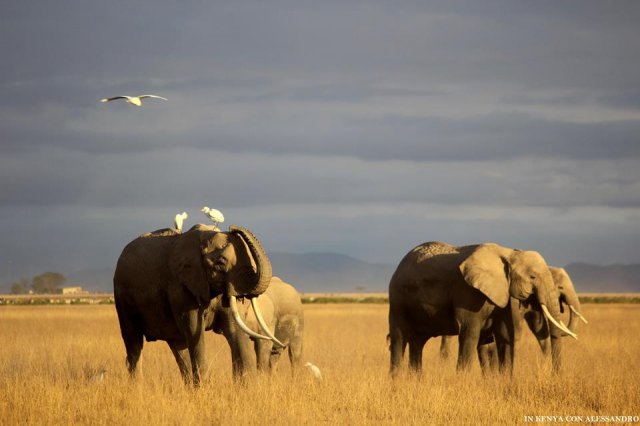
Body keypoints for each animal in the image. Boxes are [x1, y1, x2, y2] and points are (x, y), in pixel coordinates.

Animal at [112, 225, 280, 384]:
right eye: (220, 263)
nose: (233, 228)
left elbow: (235, 331)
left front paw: (246, 388)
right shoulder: (181, 288)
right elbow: (194, 332)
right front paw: (205, 389)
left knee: (179, 347)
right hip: (122, 299)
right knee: (134, 342)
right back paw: (137, 386)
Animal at [388, 243, 576, 376]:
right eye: (532, 277)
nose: (555, 375)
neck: (508, 253)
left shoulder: (504, 294)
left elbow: (505, 334)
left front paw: (504, 382)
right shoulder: (468, 293)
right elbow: (469, 333)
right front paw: (462, 383)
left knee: (417, 342)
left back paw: (415, 381)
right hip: (398, 299)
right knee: (399, 339)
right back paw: (396, 381)